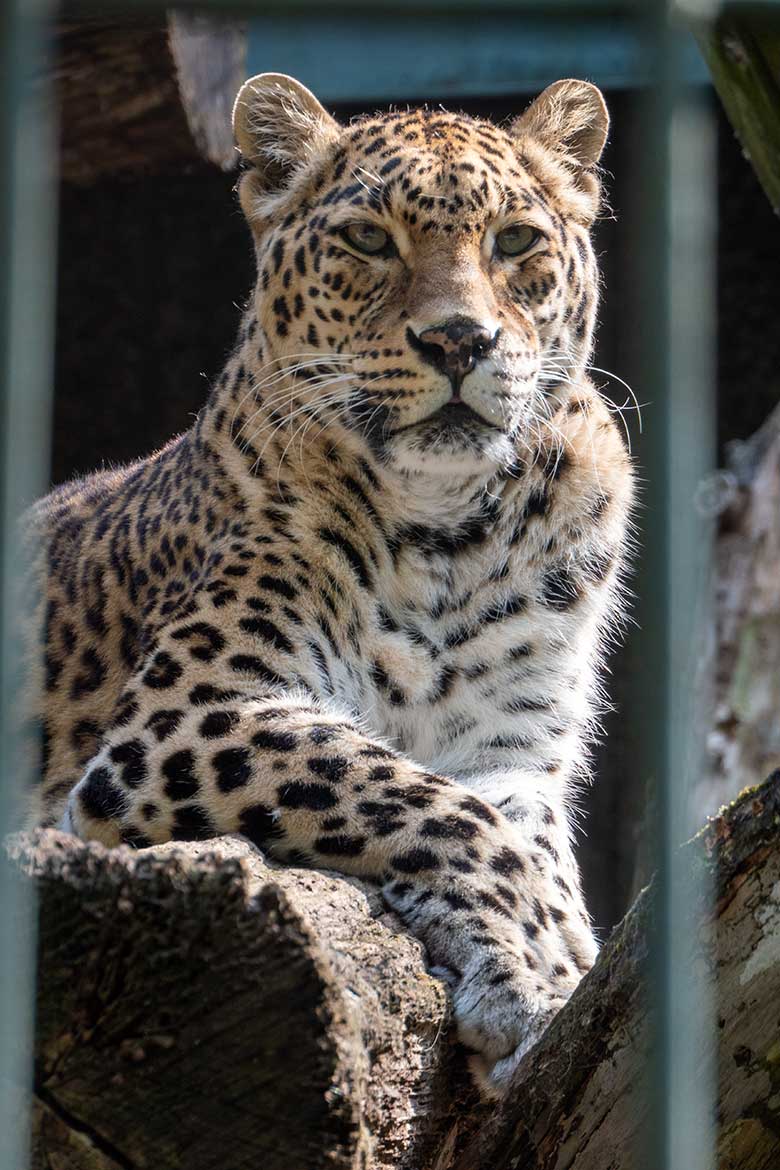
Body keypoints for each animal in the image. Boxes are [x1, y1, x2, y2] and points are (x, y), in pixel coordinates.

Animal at [19, 73, 636, 1095]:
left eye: (515, 242)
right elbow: (428, 802)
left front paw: (540, 963)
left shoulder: (512, 749)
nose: (459, 340)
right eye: (368, 241)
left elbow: (519, 834)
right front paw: (545, 959)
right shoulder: (189, 716)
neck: (448, 533)